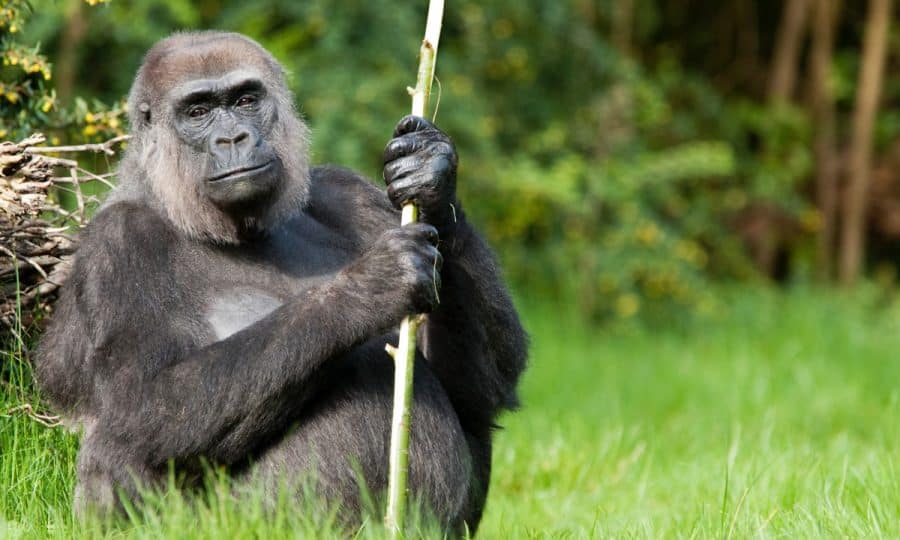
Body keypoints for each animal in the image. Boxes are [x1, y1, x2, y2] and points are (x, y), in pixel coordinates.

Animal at [36, 31, 527, 534]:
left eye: (246, 100)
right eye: (198, 111)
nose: (233, 138)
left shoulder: (349, 192)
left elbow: (480, 387)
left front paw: (432, 175)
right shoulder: (115, 246)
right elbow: (145, 402)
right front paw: (368, 288)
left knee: (476, 412)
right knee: (119, 442)